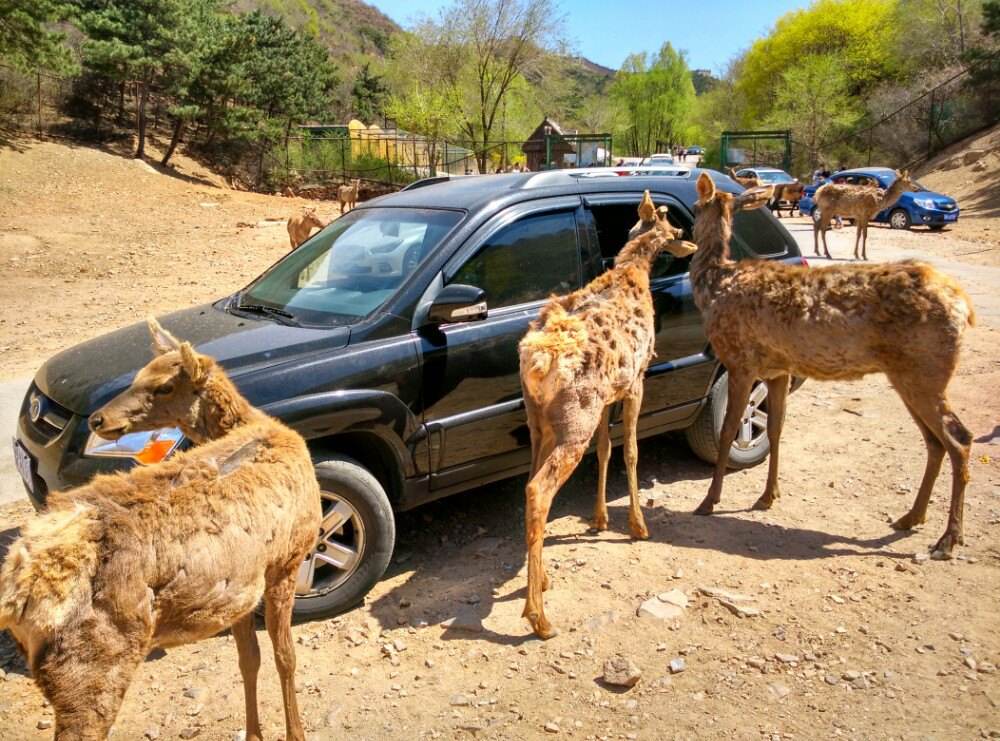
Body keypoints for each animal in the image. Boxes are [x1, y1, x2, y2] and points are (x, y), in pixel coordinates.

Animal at [0, 318, 320, 740]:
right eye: (138, 375)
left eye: (164, 385)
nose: (98, 419)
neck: (257, 425)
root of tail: (16, 586)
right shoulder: (288, 557)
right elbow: (286, 656)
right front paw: (295, 733)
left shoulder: (248, 581)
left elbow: (250, 658)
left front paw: (254, 733)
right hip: (92, 663)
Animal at [520, 194, 700, 640]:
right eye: (676, 230)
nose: (689, 242)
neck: (633, 271)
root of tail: (537, 361)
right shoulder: (636, 379)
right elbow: (631, 451)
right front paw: (637, 526)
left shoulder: (608, 396)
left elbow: (605, 449)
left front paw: (600, 518)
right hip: (574, 419)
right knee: (539, 489)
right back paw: (540, 618)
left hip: (540, 422)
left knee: (530, 481)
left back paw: (541, 581)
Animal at [688, 169, 968, 560]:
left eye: (697, 207)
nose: (686, 229)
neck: (716, 285)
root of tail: (964, 306)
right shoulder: (778, 368)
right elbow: (776, 428)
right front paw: (768, 496)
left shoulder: (740, 359)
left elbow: (729, 430)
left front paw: (709, 501)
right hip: (911, 376)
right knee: (935, 441)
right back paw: (910, 518)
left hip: (926, 371)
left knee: (959, 439)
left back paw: (947, 540)